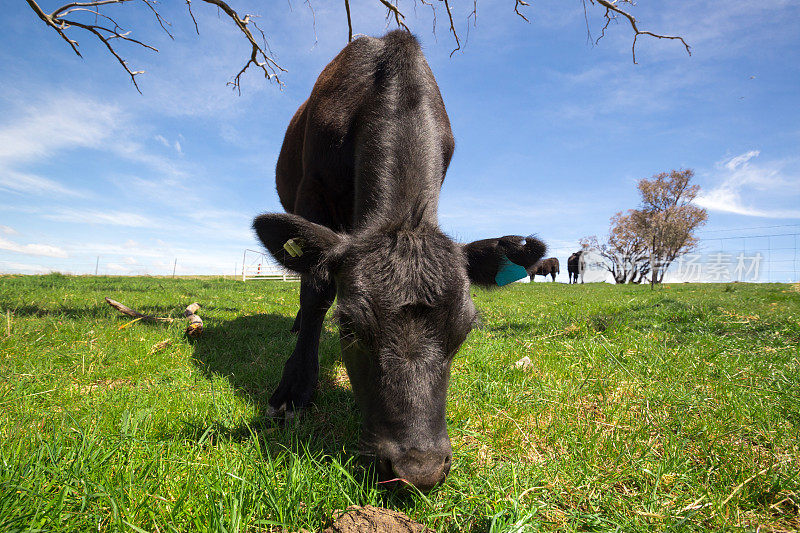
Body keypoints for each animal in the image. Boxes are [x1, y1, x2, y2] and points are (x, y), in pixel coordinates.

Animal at [253, 31, 548, 490]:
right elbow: (316, 291)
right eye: (350, 326)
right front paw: (294, 390)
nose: (419, 468)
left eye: (465, 329)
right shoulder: (311, 193)